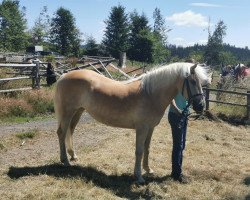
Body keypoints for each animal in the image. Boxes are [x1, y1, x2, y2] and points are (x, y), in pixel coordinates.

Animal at [54, 62, 211, 183]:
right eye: (193, 81)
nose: (201, 106)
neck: (150, 94)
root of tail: (63, 76)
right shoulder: (142, 128)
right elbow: (139, 151)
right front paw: (139, 177)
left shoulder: (150, 128)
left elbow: (147, 149)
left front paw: (148, 169)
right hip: (68, 112)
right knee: (61, 133)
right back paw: (65, 160)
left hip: (78, 111)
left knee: (70, 130)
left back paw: (73, 155)